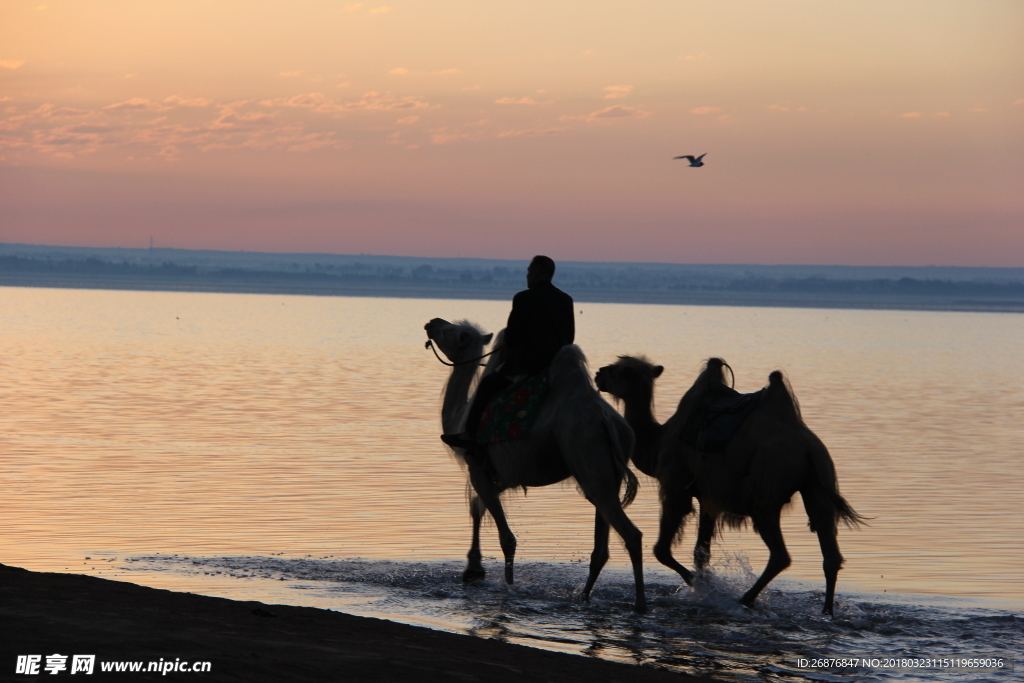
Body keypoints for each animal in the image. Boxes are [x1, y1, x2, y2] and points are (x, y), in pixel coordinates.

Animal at [423, 317, 647, 610]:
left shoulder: (478, 468)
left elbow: (506, 537)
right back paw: (584, 597)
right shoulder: (504, 476)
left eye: (450, 331)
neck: (460, 416)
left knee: (631, 535)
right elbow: (477, 507)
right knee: (602, 547)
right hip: (609, 472)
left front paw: (506, 584)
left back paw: (640, 604)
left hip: (588, 461)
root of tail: (606, 420)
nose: (432, 322)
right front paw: (473, 569)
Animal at [598, 356, 860, 618]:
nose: (599, 373)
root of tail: (808, 449)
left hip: (765, 494)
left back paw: (746, 599)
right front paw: (703, 586)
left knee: (780, 555)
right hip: (819, 485)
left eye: (624, 370)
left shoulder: (675, 487)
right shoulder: (708, 500)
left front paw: (701, 587)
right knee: (829, 549)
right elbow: (700, 553)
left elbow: (662, 550)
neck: (658, 441)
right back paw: (827, 611)